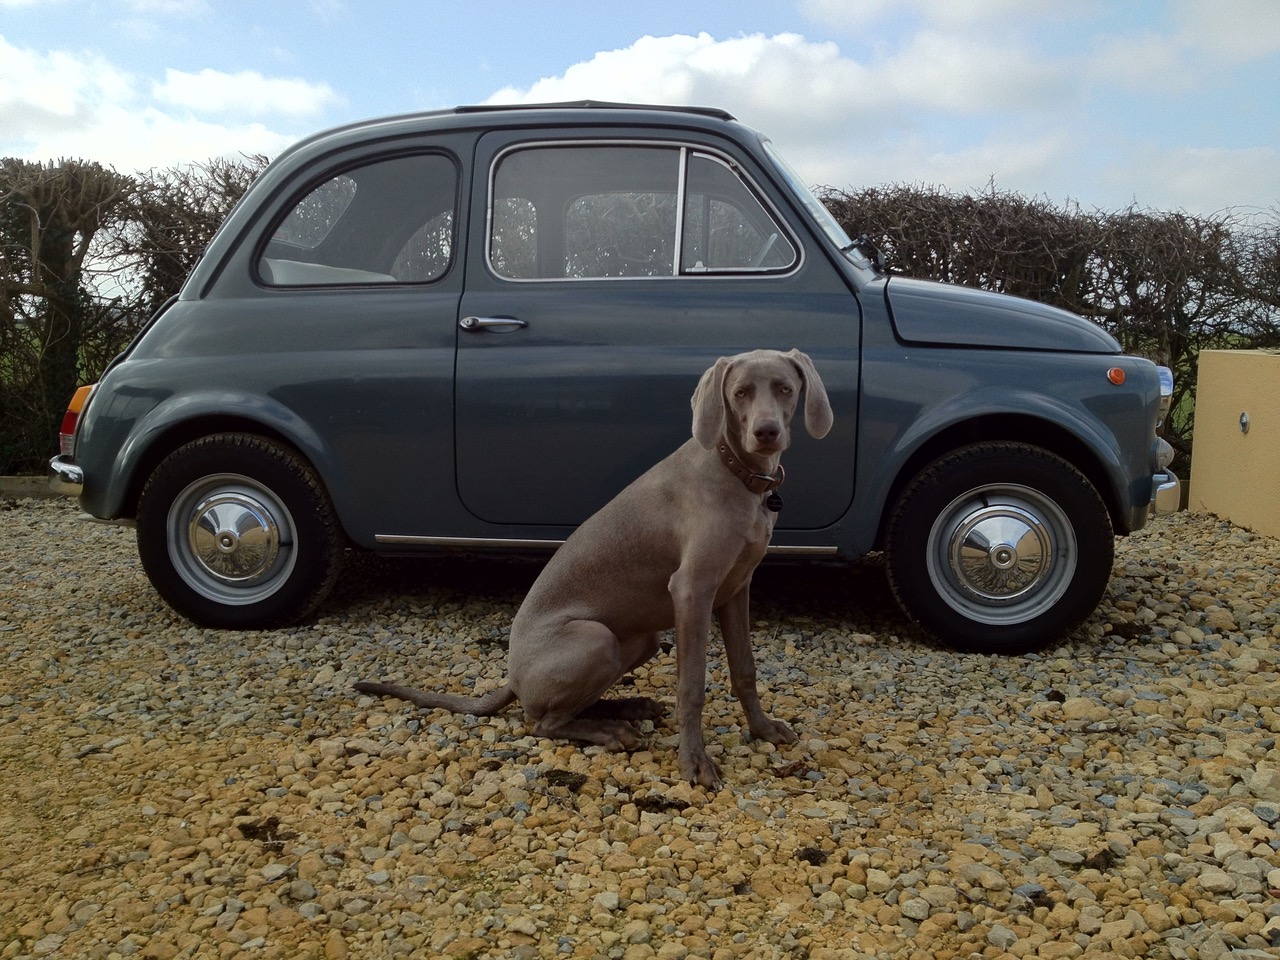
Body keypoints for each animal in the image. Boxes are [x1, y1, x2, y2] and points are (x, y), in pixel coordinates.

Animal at [355, 350, 834, 783]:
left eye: (785, 389)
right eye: (739, 393)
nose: (767, 433)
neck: (735, 471)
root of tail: (513, 677)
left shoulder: (736, 589)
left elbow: (745, 670)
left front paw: (763, 729)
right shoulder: (692, 590)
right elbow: (692, 687)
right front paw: (694, 762)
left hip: (641, 639)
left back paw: (628, 709)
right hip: (595, 638)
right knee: (542, 722)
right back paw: (611, 730)